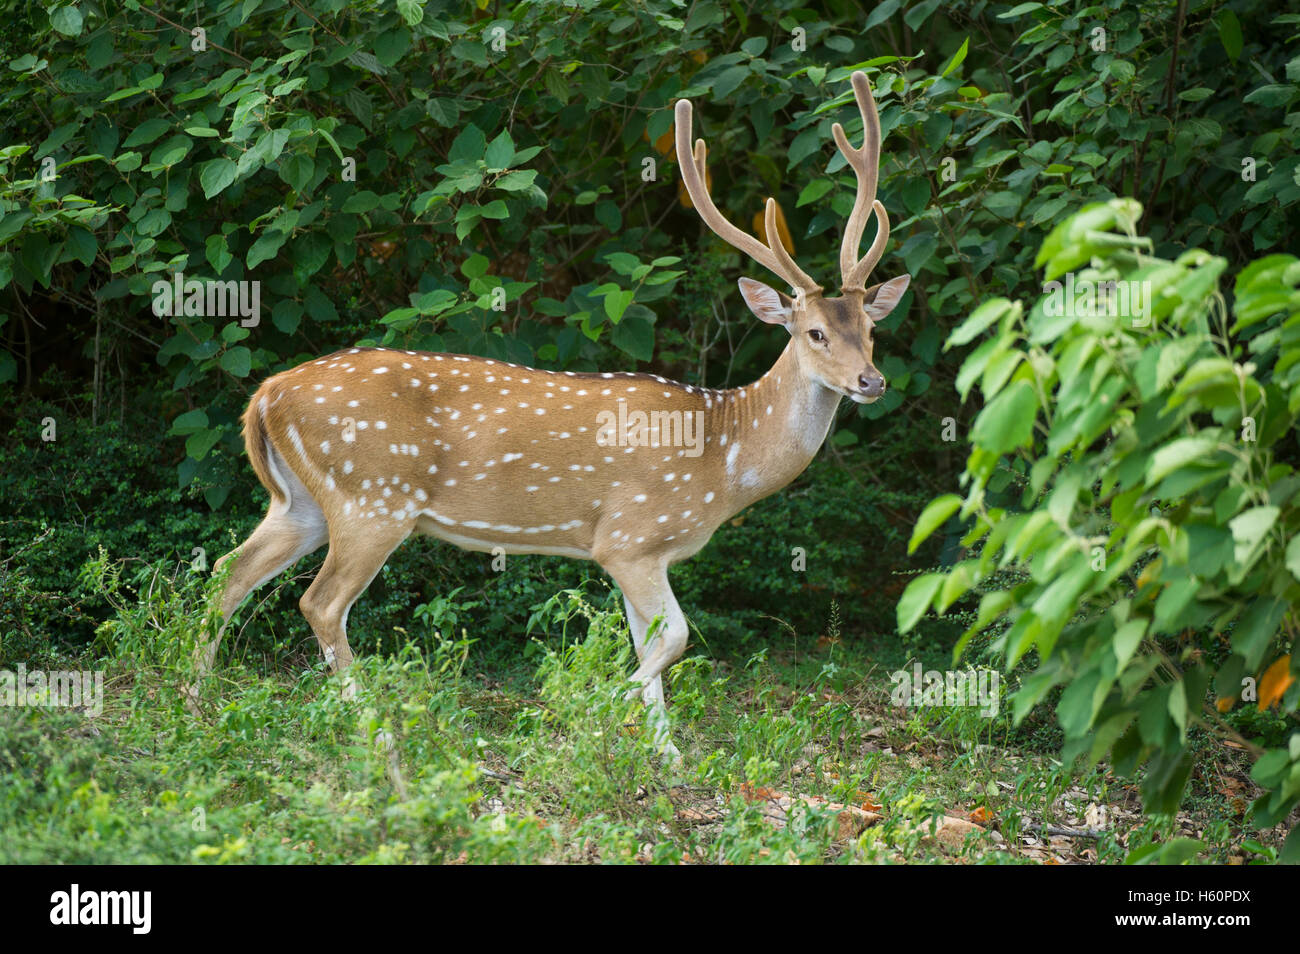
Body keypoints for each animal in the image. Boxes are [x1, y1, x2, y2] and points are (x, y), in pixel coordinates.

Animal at [191, 70, 910, 759]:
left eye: (872, 330)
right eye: (814, 333)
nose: (872, 381)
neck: (721, 456)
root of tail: (265, 395)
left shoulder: (637, 553)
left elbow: (651, 641)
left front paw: (665, 754)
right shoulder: (630, 535)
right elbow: (674, 639)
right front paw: (580, 720)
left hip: (302, 503)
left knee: (228, 574)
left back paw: (195, 700)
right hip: (373, 495)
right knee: (319, 602)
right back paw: (372, 726)